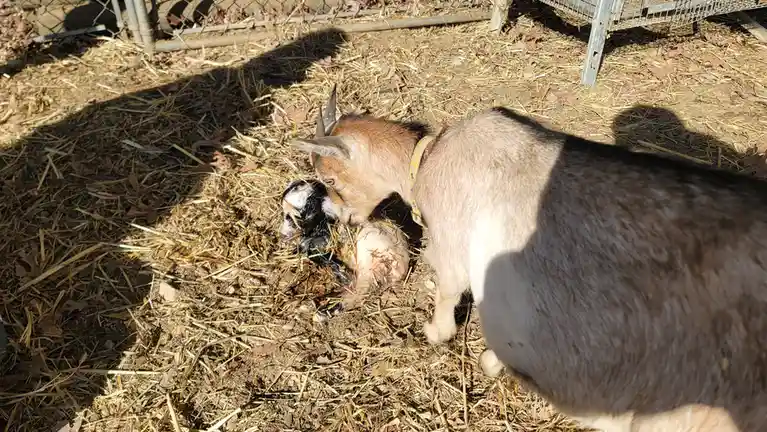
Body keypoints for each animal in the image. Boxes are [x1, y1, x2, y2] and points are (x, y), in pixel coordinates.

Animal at [292, 87, 767, 431]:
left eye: (330, 178)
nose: (339, 216)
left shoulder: (453, 249)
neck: (427, 159)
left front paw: (439, 335)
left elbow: (448, 301)